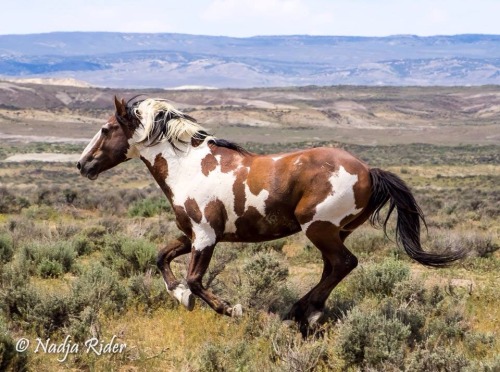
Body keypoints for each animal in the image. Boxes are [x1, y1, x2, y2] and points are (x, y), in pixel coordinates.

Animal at [78, 96, 464, 328]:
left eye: (105, 129)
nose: (82, 165)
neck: (187, 168)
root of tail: (368, 170)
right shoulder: (191, 235)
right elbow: (162, 258)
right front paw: (181, 298)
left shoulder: (205, 237)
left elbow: (195, 279)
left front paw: (229, 308)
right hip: (335, 231)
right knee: (333, 267)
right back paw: (304, 312)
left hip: (318, 228)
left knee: (344, 263)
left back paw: (304, 312)